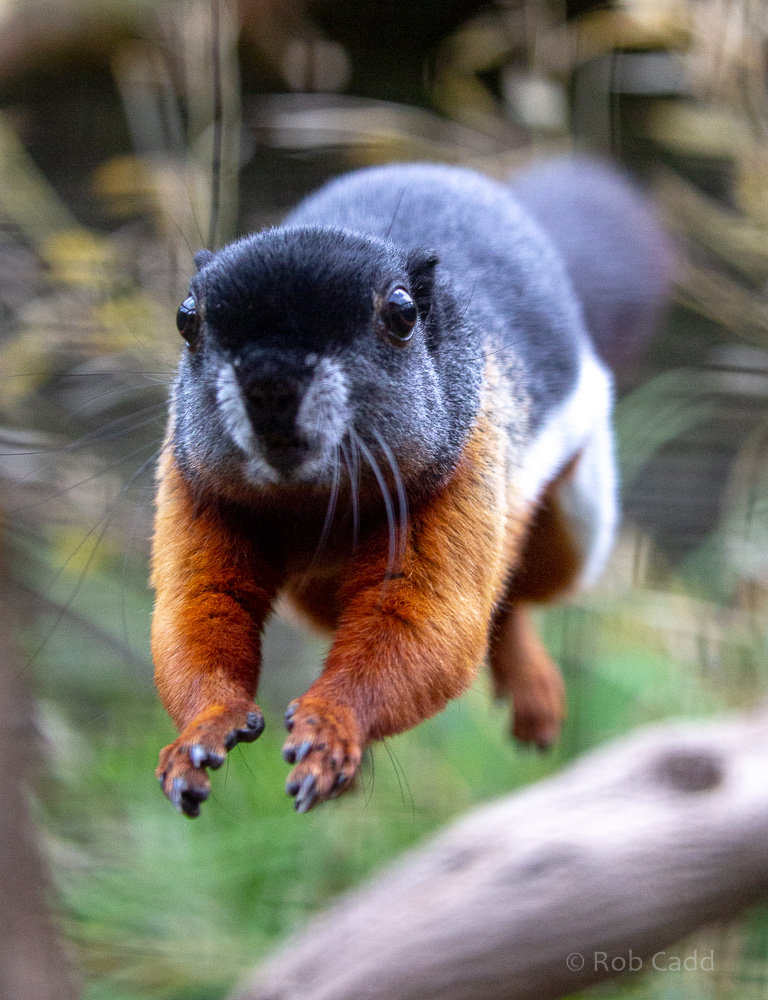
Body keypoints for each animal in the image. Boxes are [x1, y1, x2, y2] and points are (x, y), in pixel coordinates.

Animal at [151, 157, 671, 816]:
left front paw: (330, 728)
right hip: (317, 590)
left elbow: (421, 624)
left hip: (580, 518)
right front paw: (202, 732)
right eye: (185, 318)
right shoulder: (195, 489)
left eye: (401, 314)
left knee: (511, 599)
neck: (309, 500)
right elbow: (198, 612)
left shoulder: (466, 468)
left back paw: (529, 686)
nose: (270, 383)